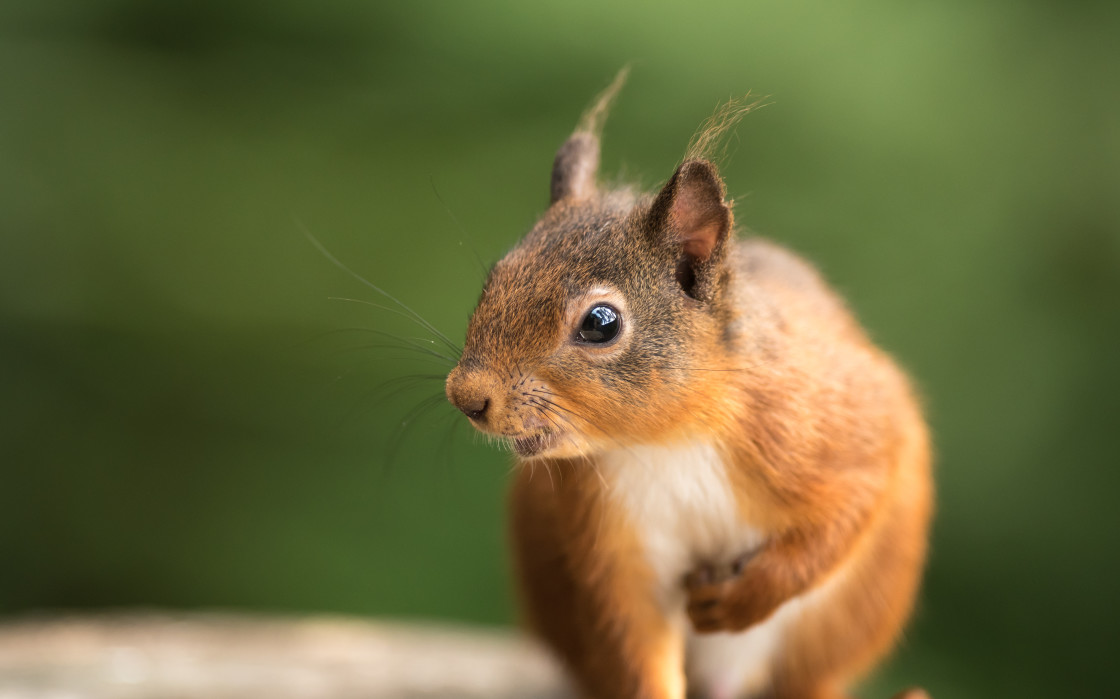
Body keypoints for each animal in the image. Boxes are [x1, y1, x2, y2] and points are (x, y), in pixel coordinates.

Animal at [441, 72, 931, 699]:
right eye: (496, 276)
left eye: (601, 322)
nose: (466, 396)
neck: (668, 440)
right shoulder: (615, 549)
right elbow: (638, 644)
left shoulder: (832, 421)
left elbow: (848, 508)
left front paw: (746, 598)